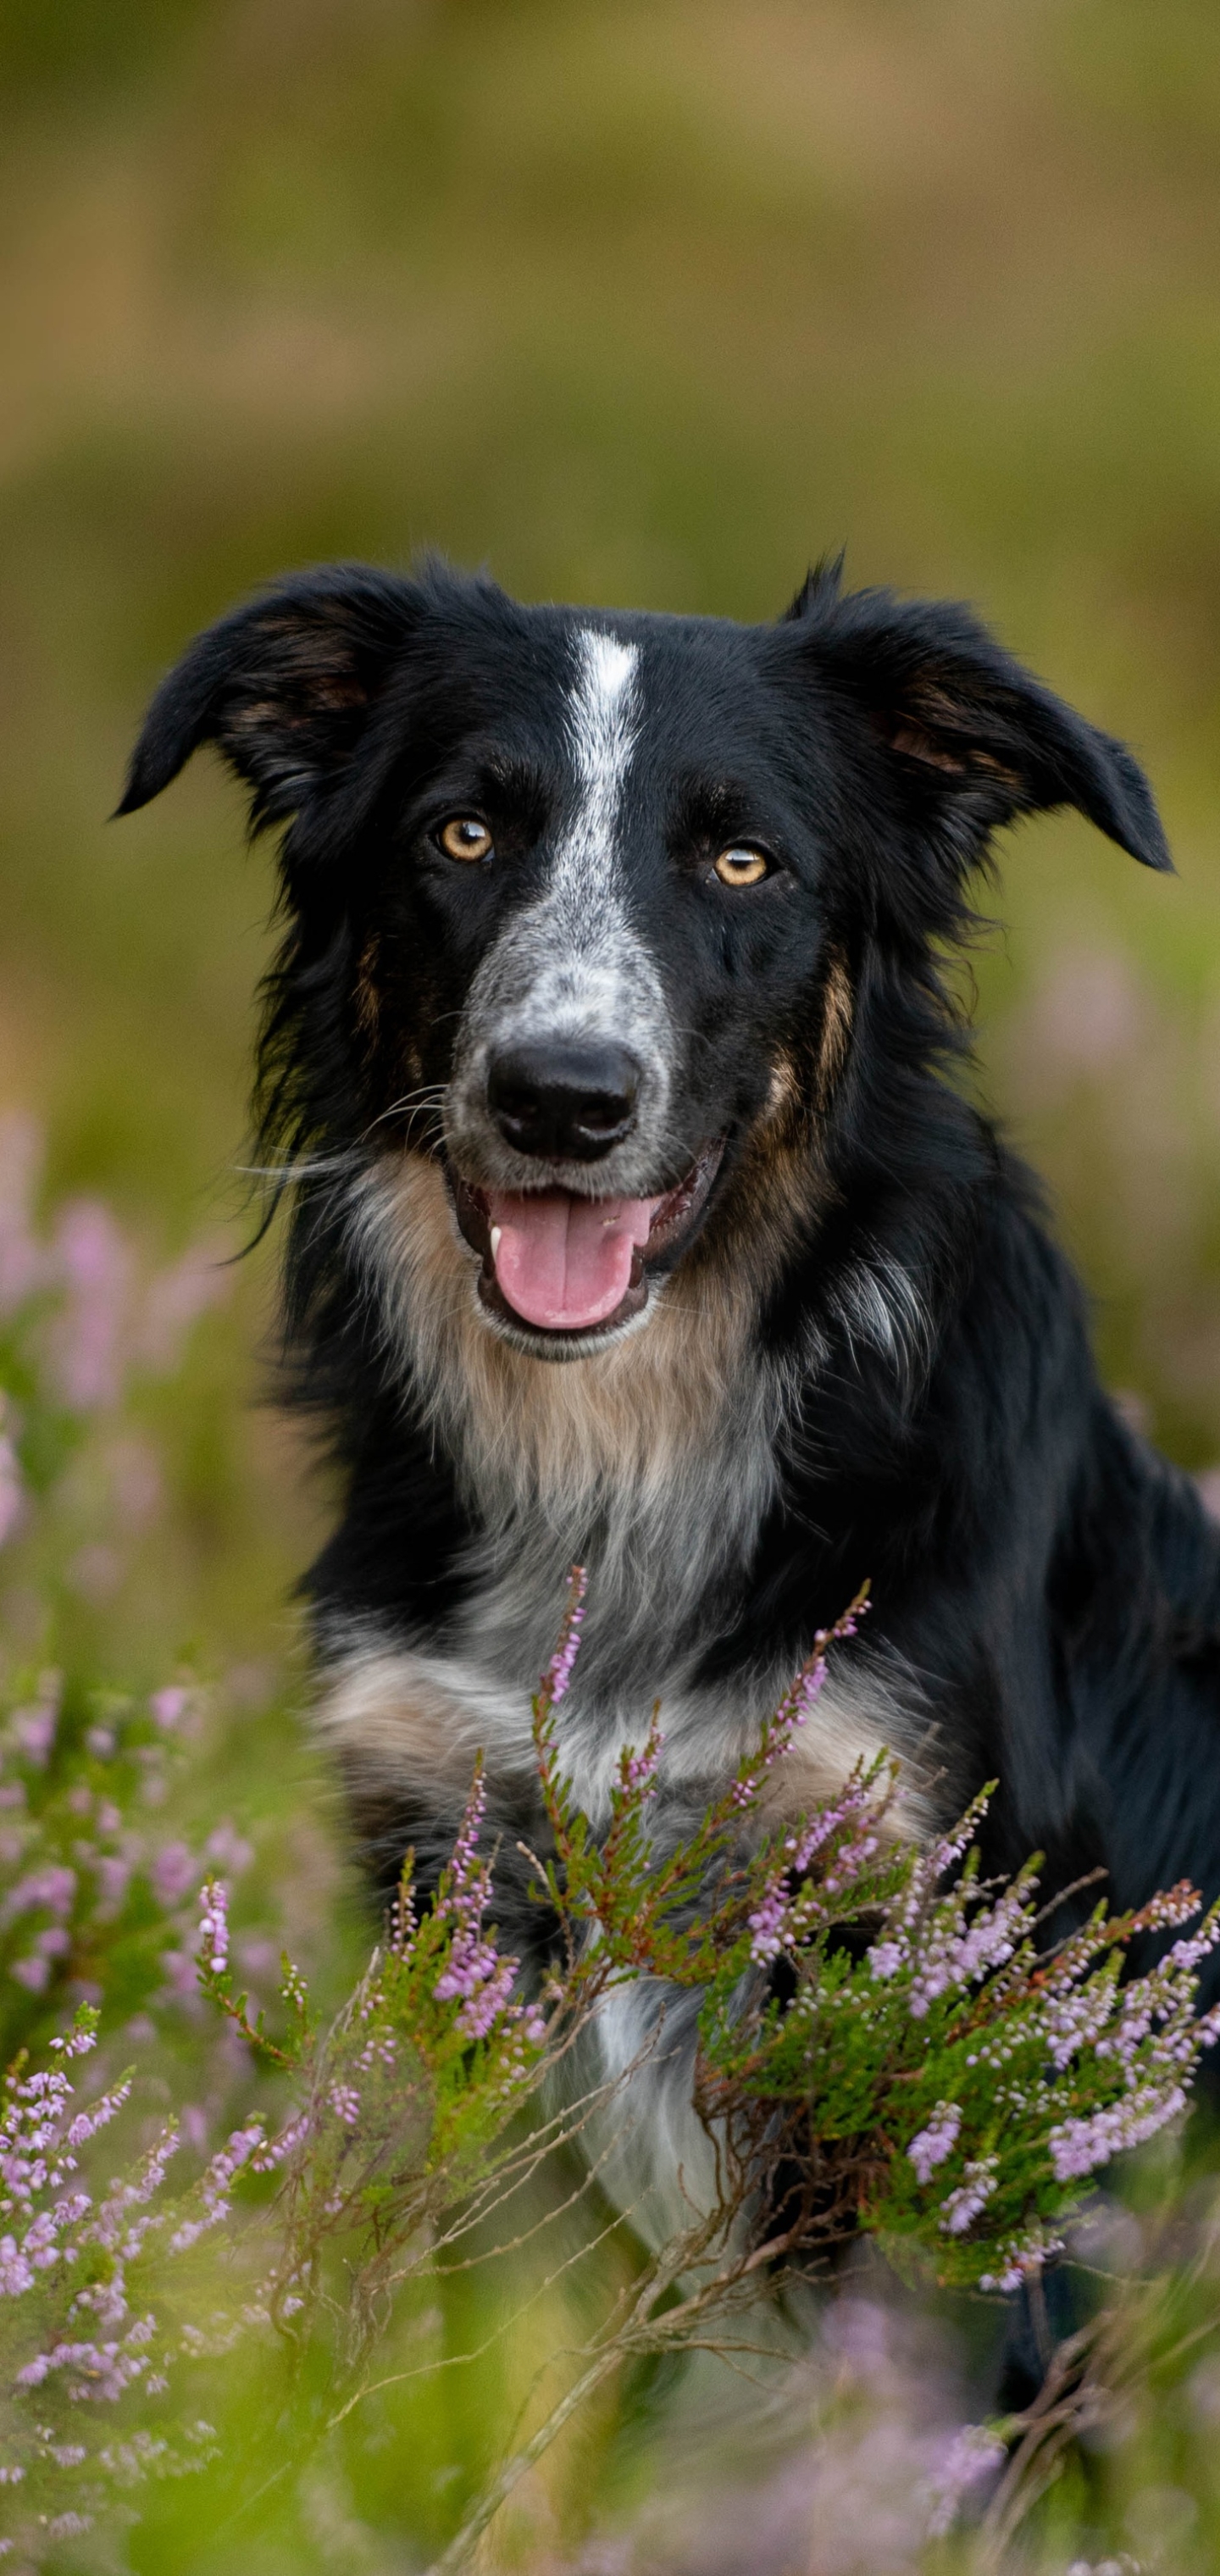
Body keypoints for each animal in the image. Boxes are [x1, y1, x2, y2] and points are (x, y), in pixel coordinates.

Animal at [119, 553, 1220, 2225]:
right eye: (462, 834)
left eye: (745, 862)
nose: (561, 1100)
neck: (615, 1453)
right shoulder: (443, 1837)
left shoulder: (887, 1884)